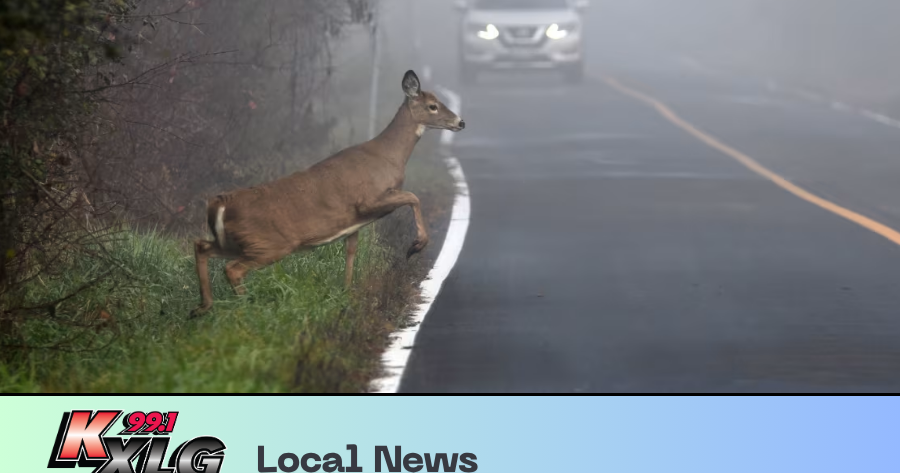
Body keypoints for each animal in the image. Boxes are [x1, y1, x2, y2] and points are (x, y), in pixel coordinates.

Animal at [190, 70, 465, 317]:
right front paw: (416, 246)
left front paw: (347, 294)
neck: (389, 157)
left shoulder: (355, 223)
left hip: (237, 242)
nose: (460, 122)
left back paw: (202, 307)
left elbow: (351, 253)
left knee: (202, 246)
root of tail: (220, 204)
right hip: (269, 243)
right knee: (232, 269)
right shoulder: (368, 200)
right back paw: (246, 308)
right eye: (433, 106)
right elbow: (413, 196)